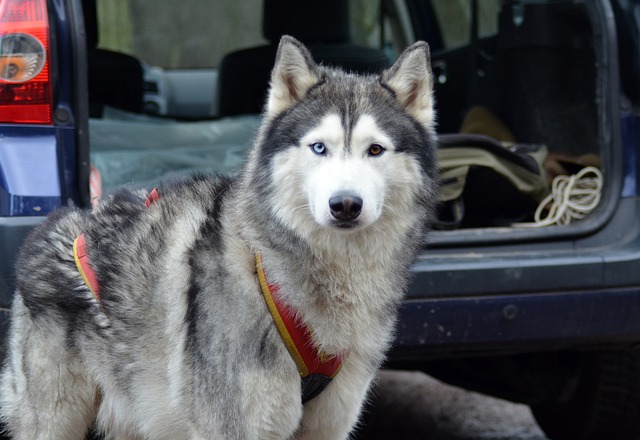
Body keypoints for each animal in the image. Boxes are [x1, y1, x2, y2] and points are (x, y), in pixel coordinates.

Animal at [0, 36, 438, 438]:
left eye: (375, 150)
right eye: (319, 148)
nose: (345, 204)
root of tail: (57, 223)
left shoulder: (328, 426)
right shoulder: (233, 427)